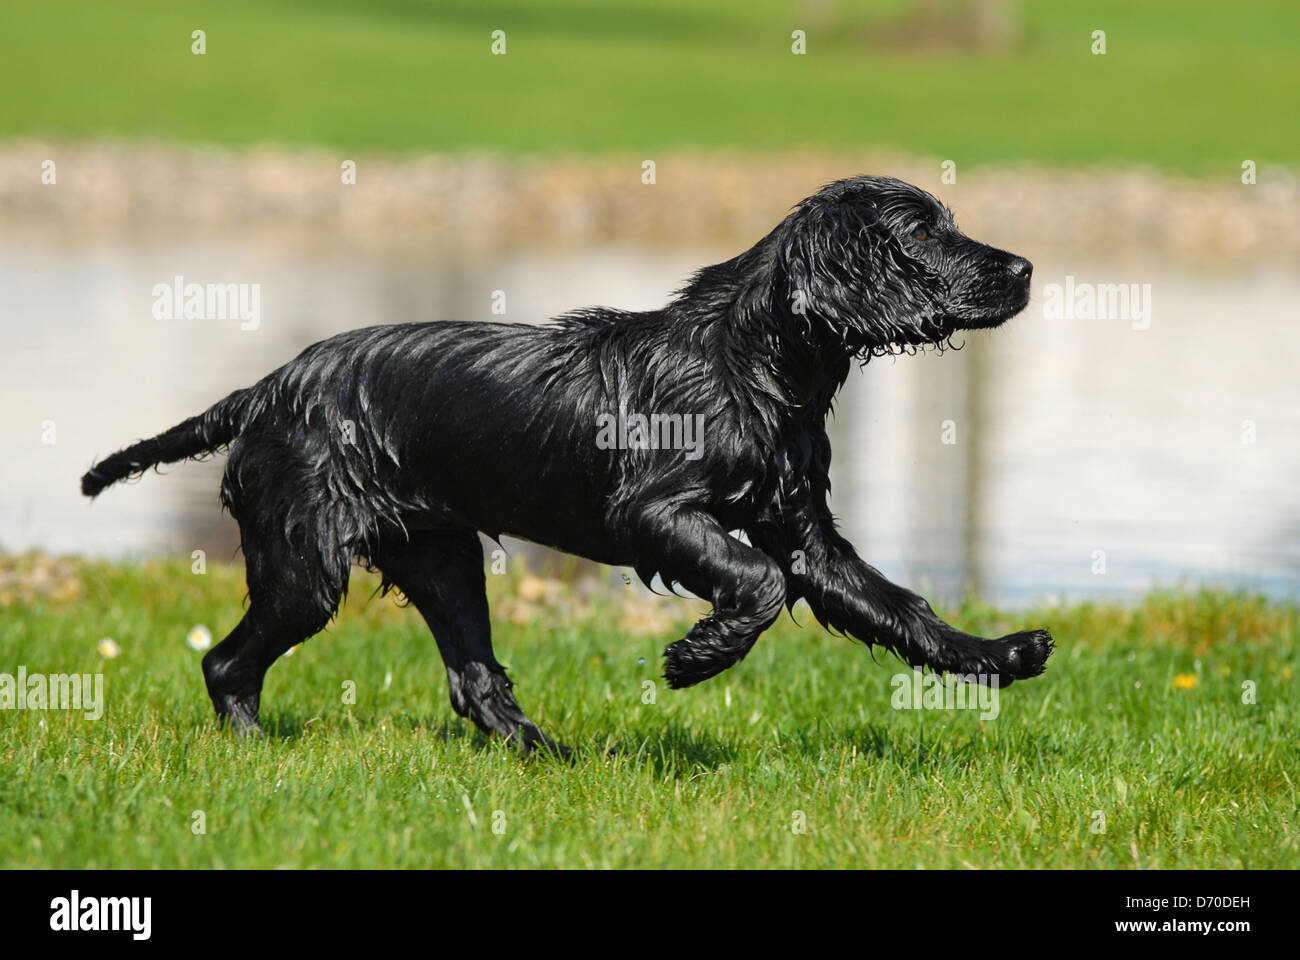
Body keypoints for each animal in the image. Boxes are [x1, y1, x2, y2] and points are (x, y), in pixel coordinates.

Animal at [81, 178, 1055, 749]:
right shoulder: (653, 513)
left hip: (443, 557)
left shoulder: (806, 530)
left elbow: (902, 609)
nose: (1026, 267)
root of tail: (263, 389)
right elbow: (758, 580)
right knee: (226, 662)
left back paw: (549, 755)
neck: (756, 365)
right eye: (923, 234)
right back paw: (253, 750)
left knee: (474, 680)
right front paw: (696, 658)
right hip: (306, 567)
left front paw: (1003, 653)